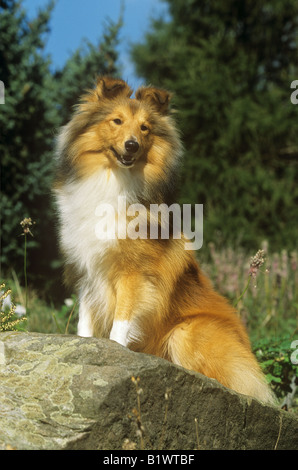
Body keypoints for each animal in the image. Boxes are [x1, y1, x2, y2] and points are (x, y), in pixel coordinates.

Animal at [54, 76, 274, 404]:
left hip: (186, 332)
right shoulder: (87, 272)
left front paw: (116, 352)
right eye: (117, 121)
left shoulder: (135, 275)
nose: (132, 145)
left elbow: (120, 322)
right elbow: (85, 321)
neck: (116, 180)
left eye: (145, 128)